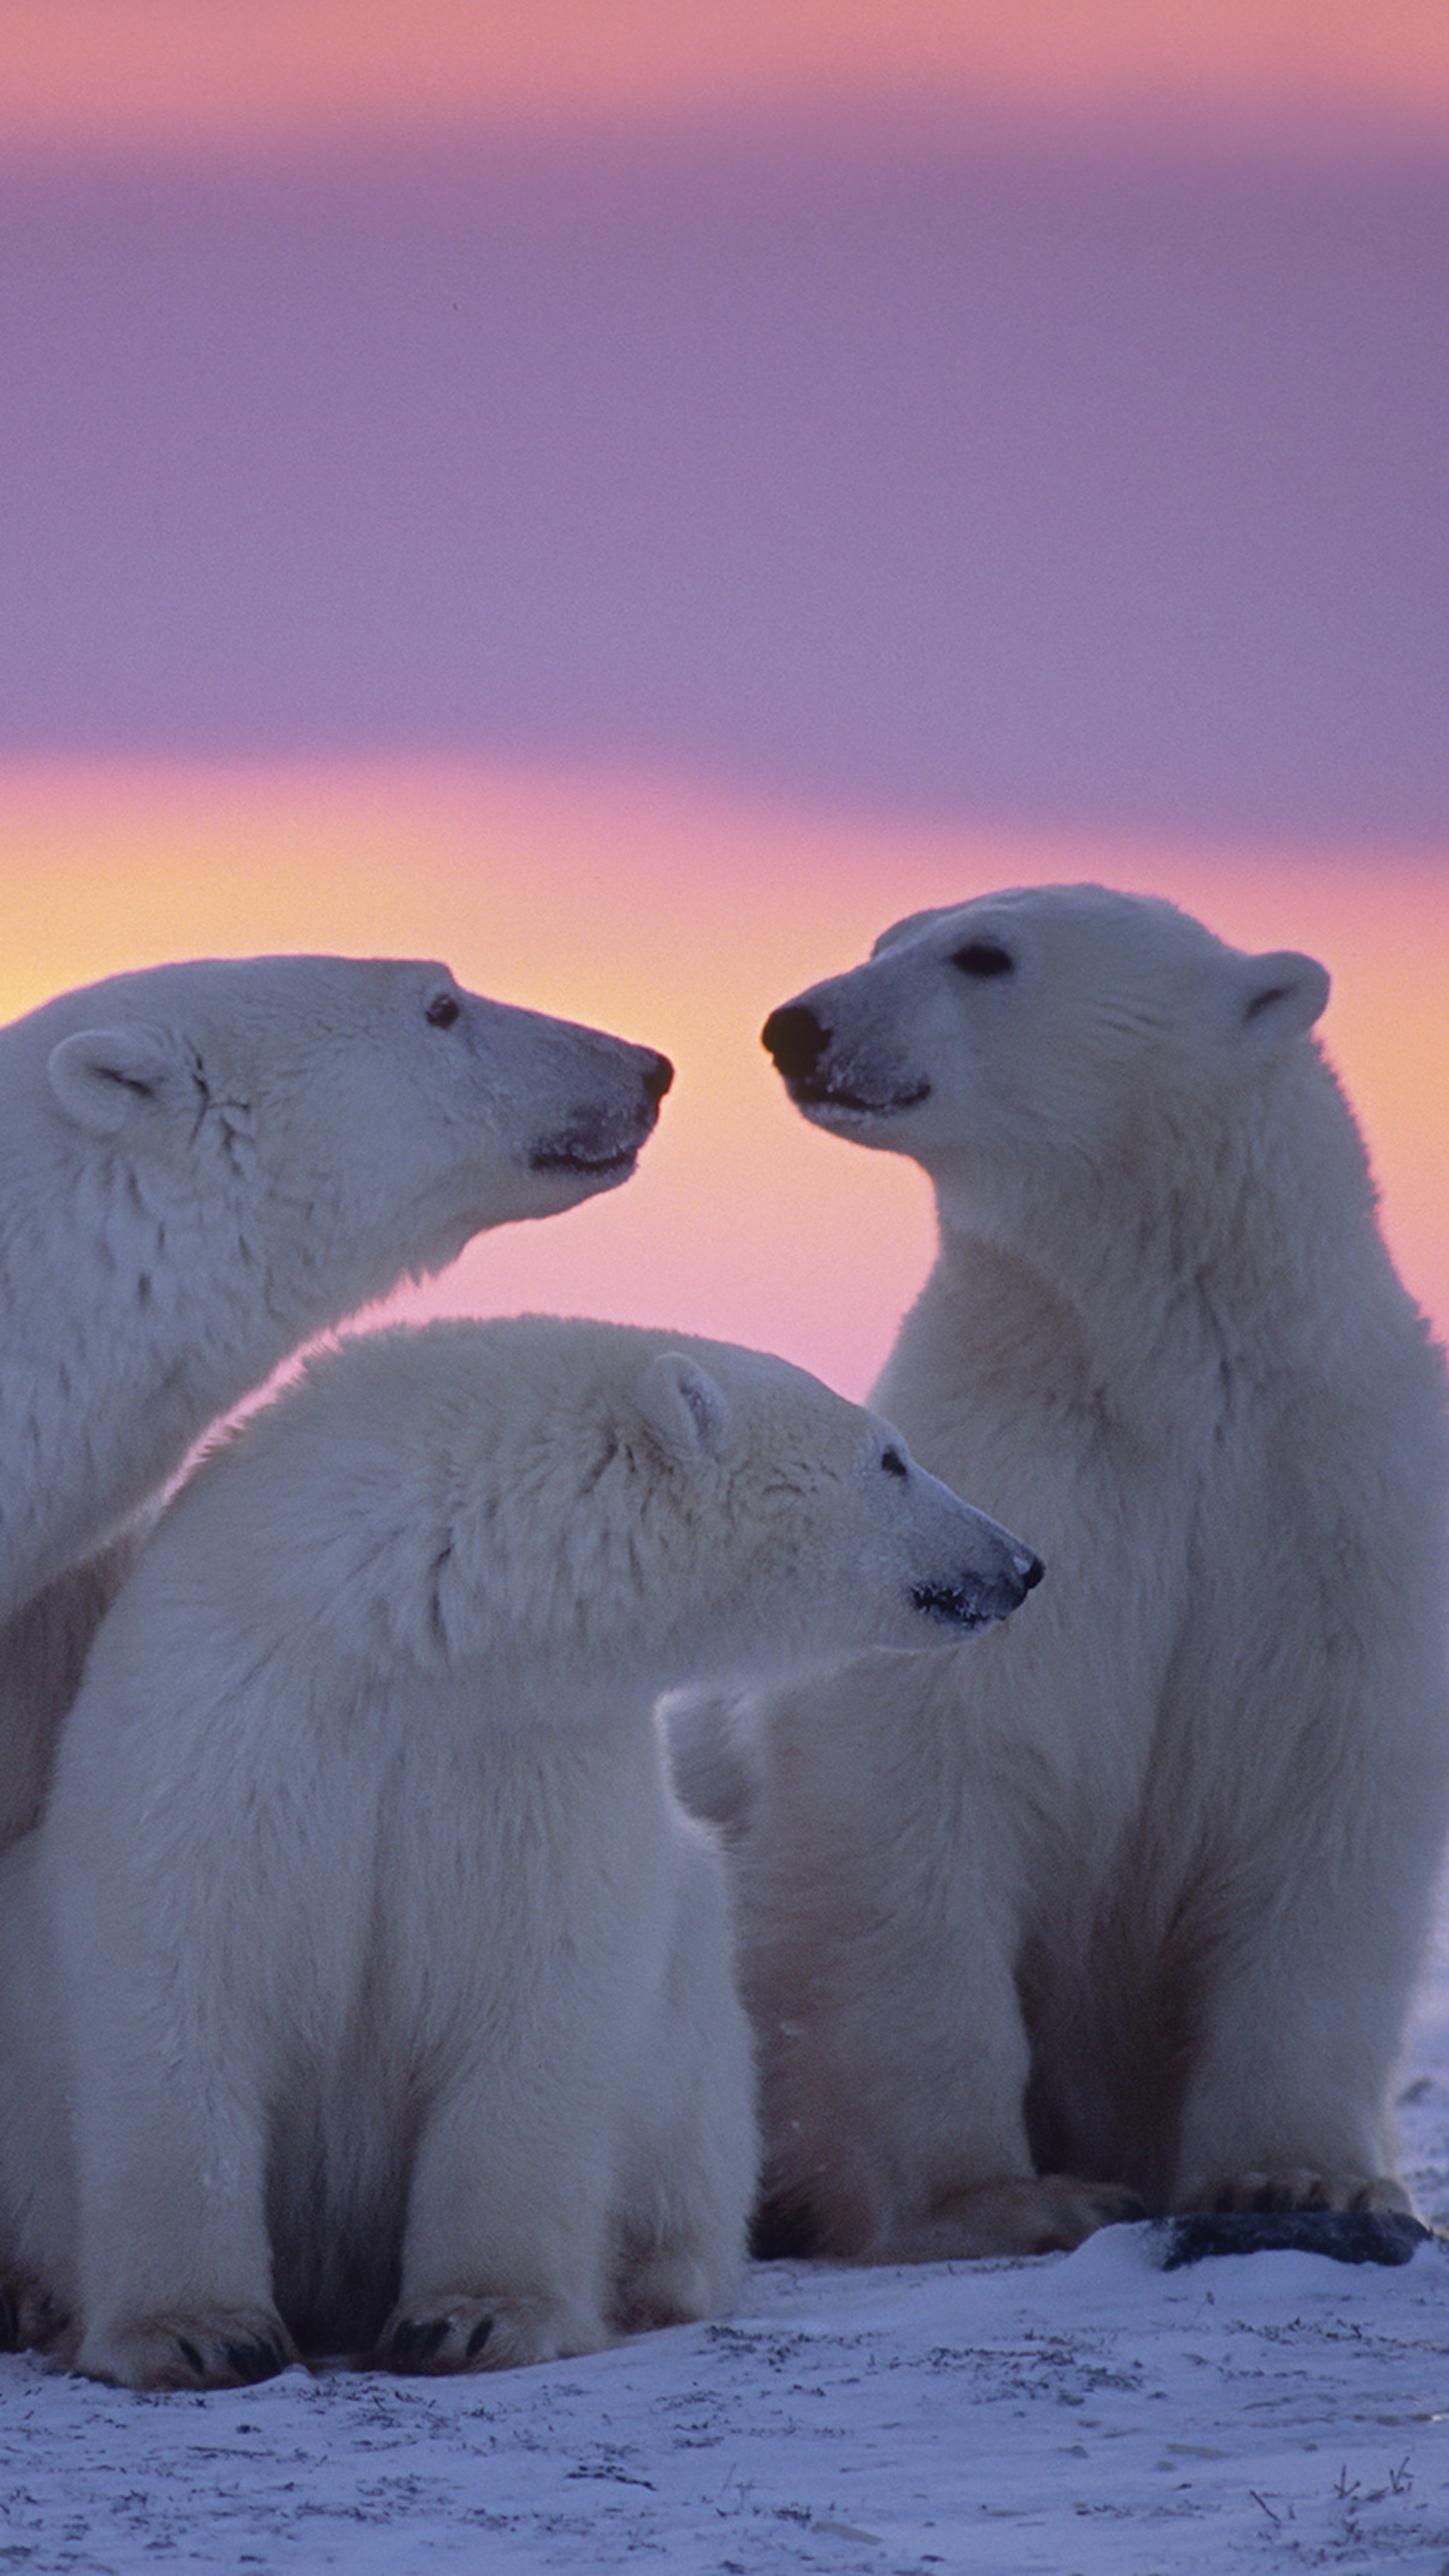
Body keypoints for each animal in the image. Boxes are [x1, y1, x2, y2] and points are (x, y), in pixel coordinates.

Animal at [0, 1319, 1036, 2380]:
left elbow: (539, 1993)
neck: (410, 1629)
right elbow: (177, 1978)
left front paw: (473, 2318)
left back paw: (654, 2279)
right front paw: (200, 2334)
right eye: (892, 1457)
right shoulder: (231, 1710)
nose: (1021, 1563)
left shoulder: (533, 1752)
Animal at [706, 881, 1444, 2256]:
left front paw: (1300, 2178)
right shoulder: (1014, 1481)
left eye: (984, 955)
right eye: (886, 937)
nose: (797, 1025)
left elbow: (1328, 1807)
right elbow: (923, 1785)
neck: (1166, 1366)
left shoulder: (1331, 1505)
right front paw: (1005, 2197)